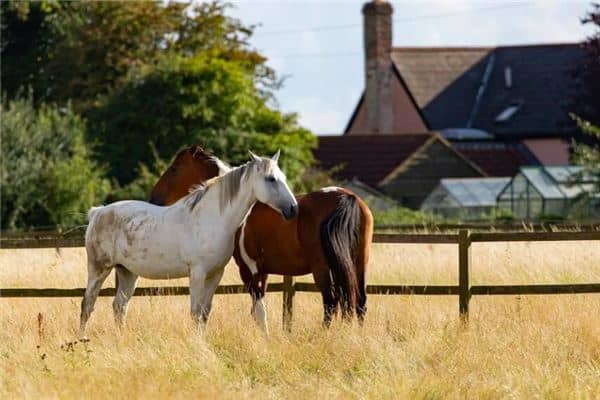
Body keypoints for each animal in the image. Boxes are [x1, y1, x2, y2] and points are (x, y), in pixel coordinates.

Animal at [79, 150, 298, 334]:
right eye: (271, 179)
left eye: (283, 178)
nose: (293, 209)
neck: (213, 218)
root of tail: (98, 212)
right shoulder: (197, 274)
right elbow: (195, 313)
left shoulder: (215, 274)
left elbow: (205, 313)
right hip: (99, 269)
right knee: (87, 304)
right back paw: (82, 339)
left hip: (127, 272)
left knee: (119, 306)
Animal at [151, 145, 370, 332]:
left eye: (174, 169)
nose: (154, 198)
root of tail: (346, 197)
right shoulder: (263, 271)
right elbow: (258, 310)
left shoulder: (249, 270)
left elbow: (259, 310)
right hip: (358, 263)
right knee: (359, 302)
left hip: (322, 268)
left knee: (330, 303)